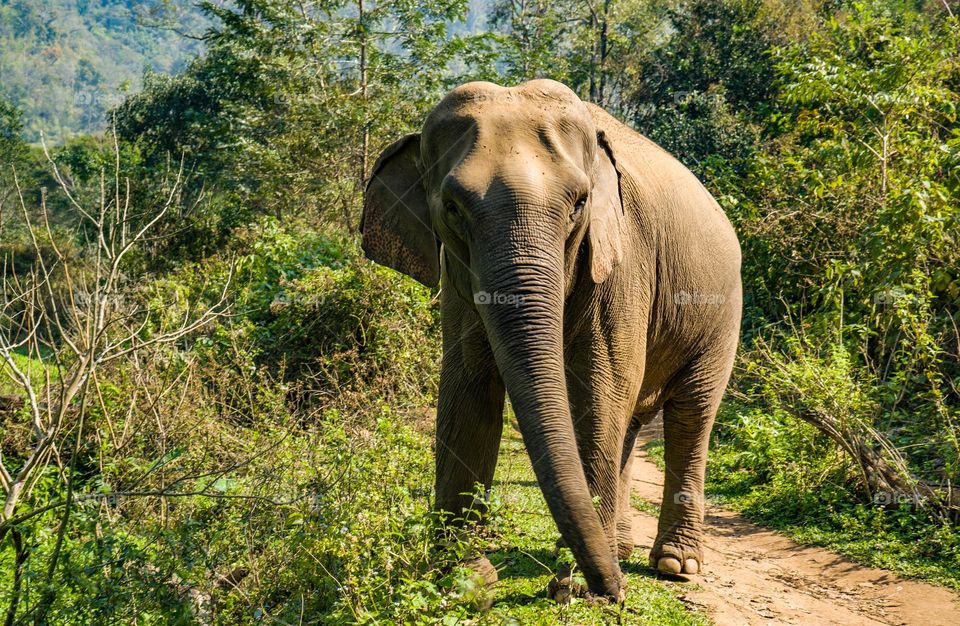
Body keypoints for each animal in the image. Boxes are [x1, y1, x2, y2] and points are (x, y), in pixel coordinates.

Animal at [360, 79, 741, 601]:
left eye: (579, 203)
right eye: (452, 207)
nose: (614, 593)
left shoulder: (622, 258)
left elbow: (600, 388)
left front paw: (575, 587)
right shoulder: (458, 276)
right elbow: (467, 387)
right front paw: (465, 578)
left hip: (722, 313)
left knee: (690, 412)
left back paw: (674, 564)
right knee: (631, 423)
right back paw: (620, 549)